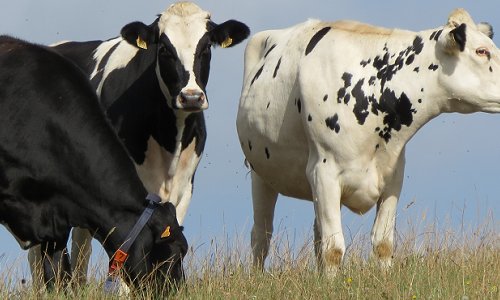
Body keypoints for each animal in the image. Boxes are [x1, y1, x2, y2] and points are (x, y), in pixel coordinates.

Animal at [25, 1, 248, 284]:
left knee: (81, 244)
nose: (191, 97)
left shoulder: (184, 187)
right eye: (163, 48)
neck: (169, 141)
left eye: (206, 47)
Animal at [236, 8, 500, 276]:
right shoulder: (323, 171)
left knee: (316, 233)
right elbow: (333, 248)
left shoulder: (393, 174)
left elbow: (382, 243)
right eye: (481, 51)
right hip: (260, 172)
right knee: (262, 234)